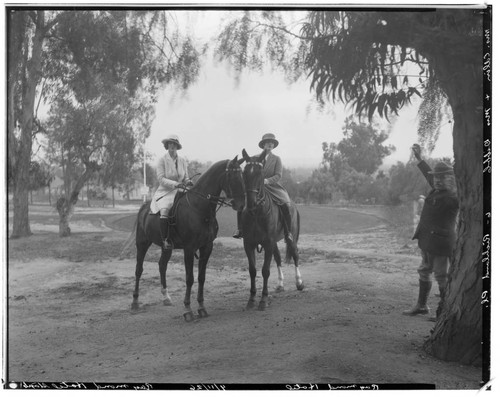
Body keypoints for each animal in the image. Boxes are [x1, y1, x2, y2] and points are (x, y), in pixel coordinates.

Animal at [131, 156, 244, 320]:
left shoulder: (207, 247)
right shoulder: (189, 249)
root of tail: (144, 208)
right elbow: (189, 278)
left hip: (167, 247)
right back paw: (135, 302)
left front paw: (201, 307)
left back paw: (166, 297)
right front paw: (188, 309)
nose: (241, 205)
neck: (200, 208)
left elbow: (201, 277)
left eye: (241, 175)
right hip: (142, 243)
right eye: (232, 176)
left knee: (162, 266)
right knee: (139, 269)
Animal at [240, 148, 302, 310]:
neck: (257, 213)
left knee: (295, 254)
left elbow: (265, 271)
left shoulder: (267, 243)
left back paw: (299, 282)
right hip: (274, 242)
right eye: (244, 172)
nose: (251, 203)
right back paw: (280, 284)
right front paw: (251, 299)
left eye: (260, 174)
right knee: (278, 258)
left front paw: (263, 300)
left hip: (290, 237)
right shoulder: (249, 244)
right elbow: (253, 270)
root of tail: (293, 205)